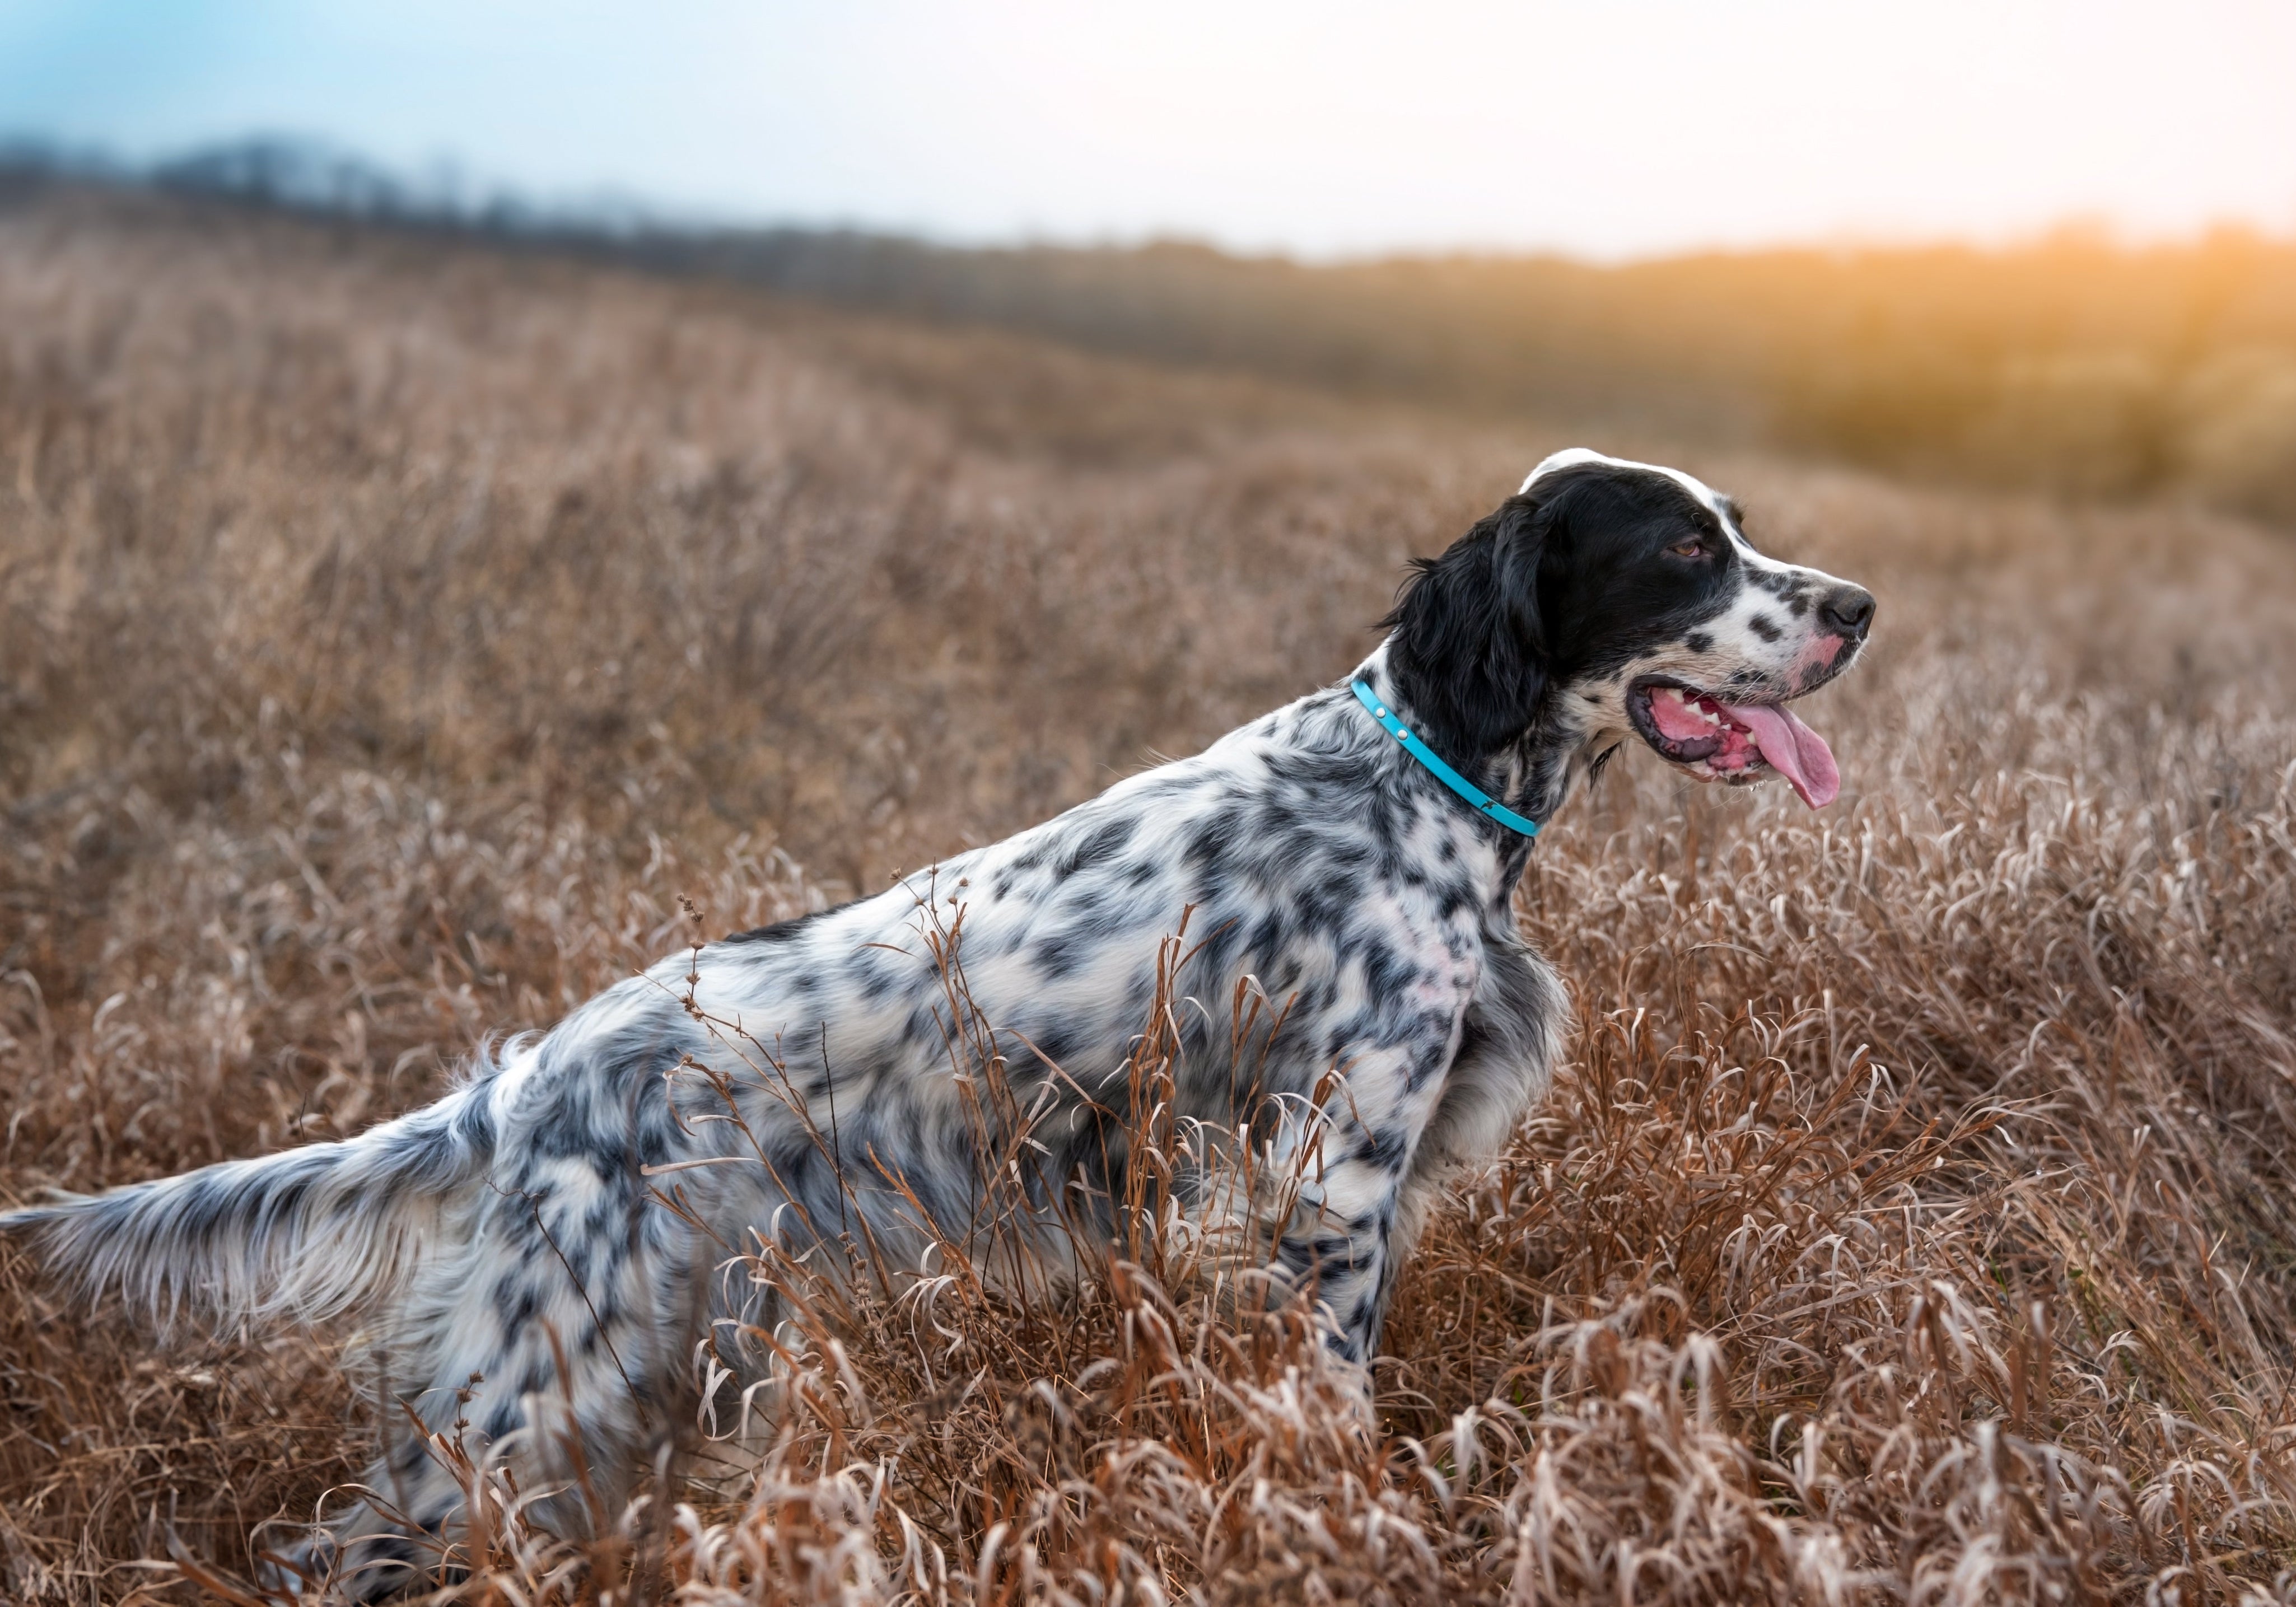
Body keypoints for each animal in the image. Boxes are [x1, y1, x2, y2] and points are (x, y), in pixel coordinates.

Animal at [0, 452, 1873, 1597]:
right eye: (1682, 550)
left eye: (1736, 526)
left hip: (663, 1360)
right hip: (548, 1364)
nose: (1856, 605)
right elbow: (1333, 1407)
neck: (1418, 776)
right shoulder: (1328, 1187)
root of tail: (533, 1072)